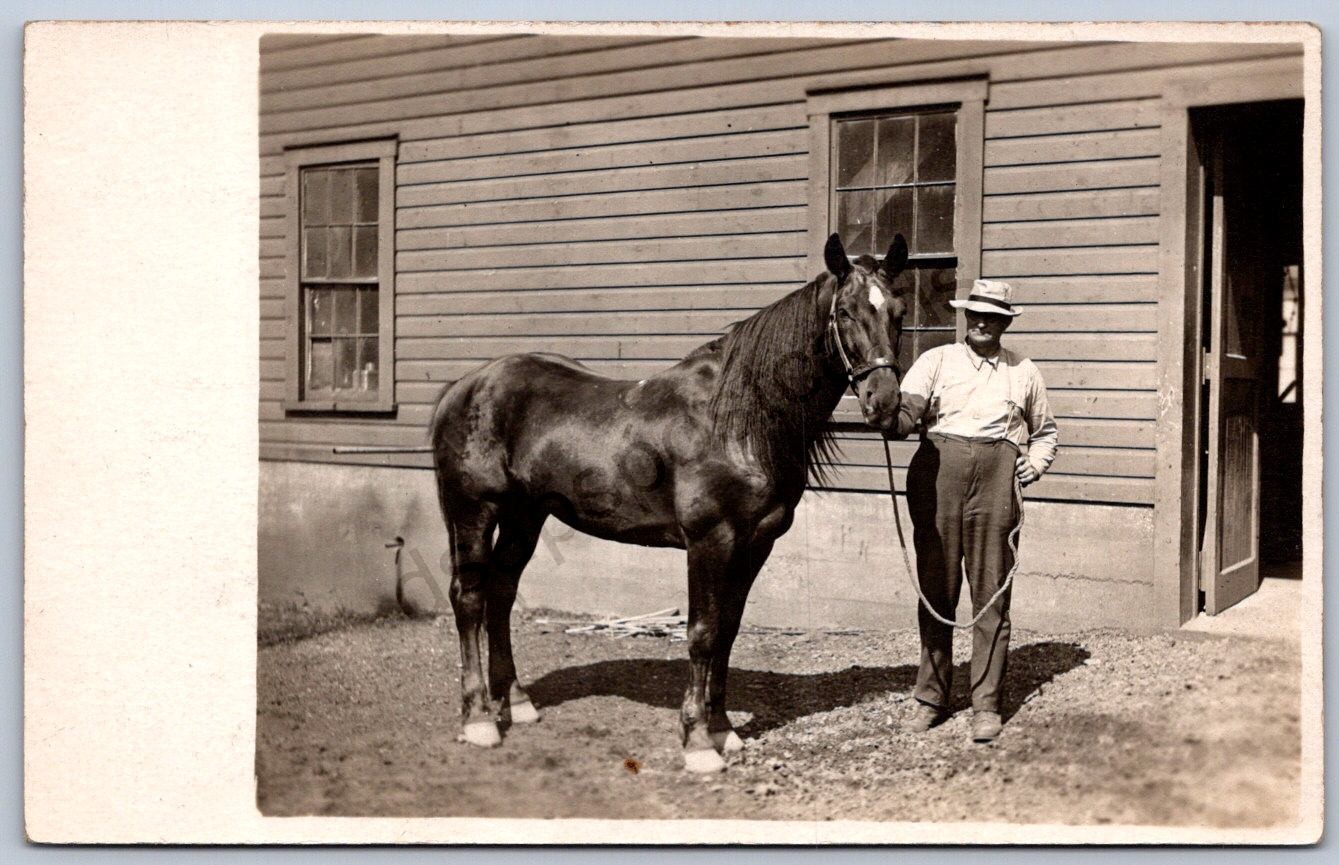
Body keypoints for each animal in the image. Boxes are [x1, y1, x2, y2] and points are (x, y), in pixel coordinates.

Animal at [429, 232, 909, 772]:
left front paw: (723, 730)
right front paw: (698, 742)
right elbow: (701, 633)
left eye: (899, 311)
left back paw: (516, 702)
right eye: (845, 312)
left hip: (524, 518)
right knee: (469, 597)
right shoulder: (710, 541)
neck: (735, 419)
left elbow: (727, 631)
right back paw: (479, 720)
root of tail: (465, 387)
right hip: (473, 513)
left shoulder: (755, 544)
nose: (884, 402)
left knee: (501, 593)